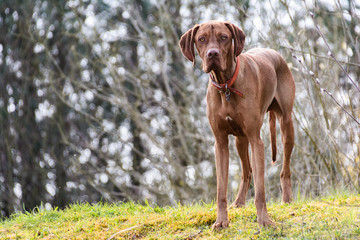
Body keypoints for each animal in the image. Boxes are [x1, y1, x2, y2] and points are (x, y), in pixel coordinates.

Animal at [180, 21, 296, 231]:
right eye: (201, 39)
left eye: (224, 37)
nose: (213, 54)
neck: (226, 85)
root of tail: (274, 52)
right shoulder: (220, 143)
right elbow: (221, 190)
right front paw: (221, 222)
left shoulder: (256, 141)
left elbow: (260, 191)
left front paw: (264, 221)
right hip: (240, 141)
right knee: (246, 172)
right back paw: (239, 202)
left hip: (286, 125)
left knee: (285, 169)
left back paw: (287, 199)